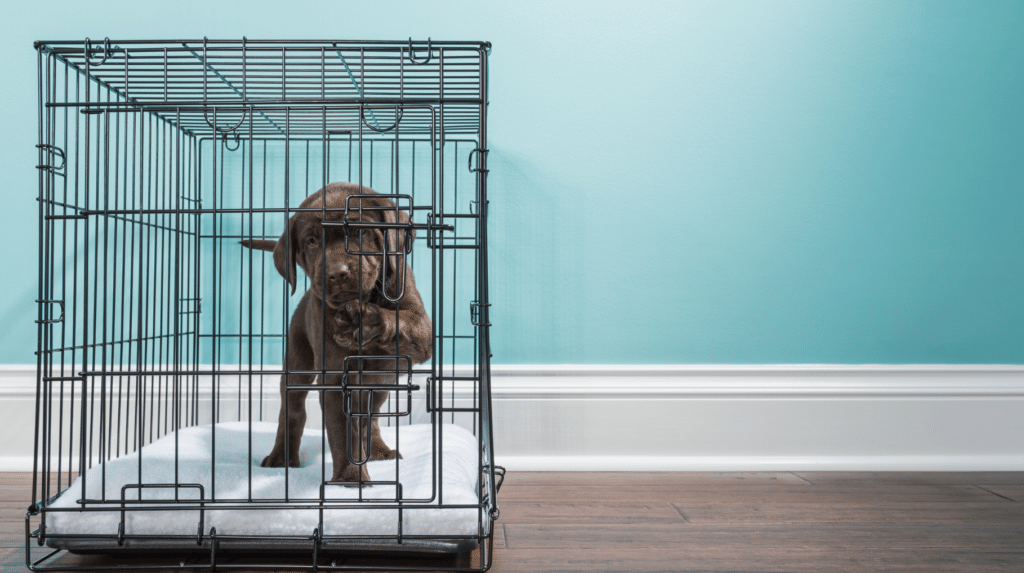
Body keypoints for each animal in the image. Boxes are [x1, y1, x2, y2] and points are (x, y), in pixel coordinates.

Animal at [246, 182, 432, 482]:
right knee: (293, 410)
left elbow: (402, 322)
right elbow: (342, 432)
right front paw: (350, 477)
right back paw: (281, 457)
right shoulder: (334, 378)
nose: (336, 272)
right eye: (311, 241)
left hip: (382, 382)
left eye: (359, 231)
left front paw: (365, 321)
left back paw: (378, 449)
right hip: (298, 361)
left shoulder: (421, 329)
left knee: (371, 416)